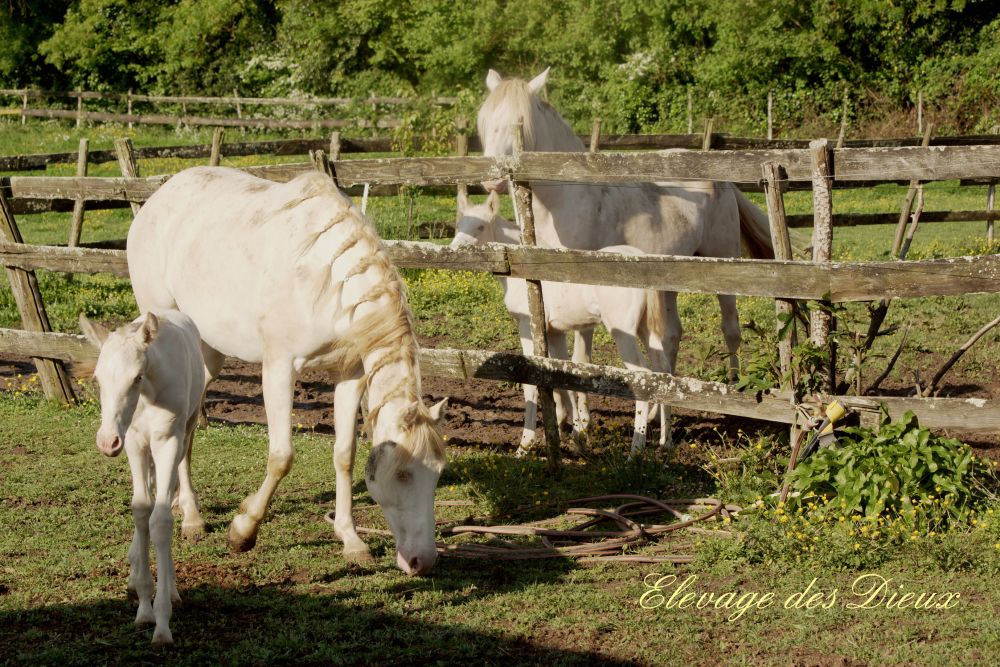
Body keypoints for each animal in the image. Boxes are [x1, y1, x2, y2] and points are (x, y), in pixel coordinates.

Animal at [80, 310, 206, 645]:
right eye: (98, 378)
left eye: (137, 377)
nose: (107, 441)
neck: (149, 397)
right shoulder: (134, 442)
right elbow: (140, 509)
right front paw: (144, 607)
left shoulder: (167, 441)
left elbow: (161, 520)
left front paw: (161, 621)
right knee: (149, 493)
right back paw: (135, 572)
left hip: (185, 430)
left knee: (172, 485)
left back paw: (171, 588)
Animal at [127, 166, 448, 577]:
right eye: (404, 474)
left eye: (438, 472)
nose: (423, 560)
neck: (324, 277)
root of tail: (156, 200)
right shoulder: (279, 367)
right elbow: (282, 456)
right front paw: (242, 531)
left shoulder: (350, 374)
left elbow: (344, 454)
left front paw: (351, 539)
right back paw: (192, 518)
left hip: (207, 357)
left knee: (189, 423)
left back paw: (185, 509)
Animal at [453, 192, 672, 455]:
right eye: (458, 224)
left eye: (481, 226)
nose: (454, 251)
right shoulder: (555, 332)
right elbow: (562, 377)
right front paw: (577, 435)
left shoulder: (527, 328)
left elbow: (531, 384)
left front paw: (525, 445)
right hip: (646, 329)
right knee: (663, 372)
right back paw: (665, 442)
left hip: (624, 333)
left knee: (643, 377)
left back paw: (635, 451)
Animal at [477, 67, 775, 446]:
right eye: (486, 120)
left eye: (519, 123)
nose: (491, 180)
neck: (563, 200)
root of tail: (725, 181)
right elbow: (553, 354)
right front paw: (561, 417)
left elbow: (581, 357)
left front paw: (582, 425)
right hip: (667, 283)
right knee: (669, 340)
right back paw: (656, 414)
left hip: (723, 264)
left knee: (730, 329)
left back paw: (733, 395)